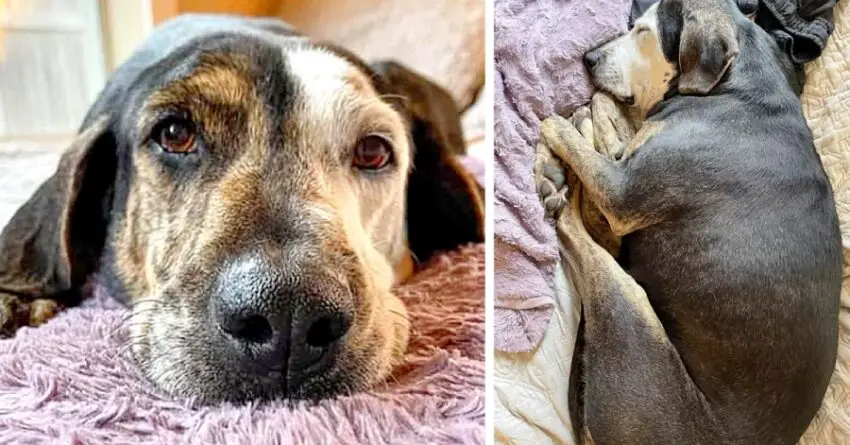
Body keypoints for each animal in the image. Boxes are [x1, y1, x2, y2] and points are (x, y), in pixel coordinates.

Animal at [532, 0, 840, 442]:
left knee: (576, 229)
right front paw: (600, 124)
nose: (588, 58)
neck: (737, 87)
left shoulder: (623, 193)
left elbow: (562, 128)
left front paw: (571, 126)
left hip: (631, 310)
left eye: (643, 32)